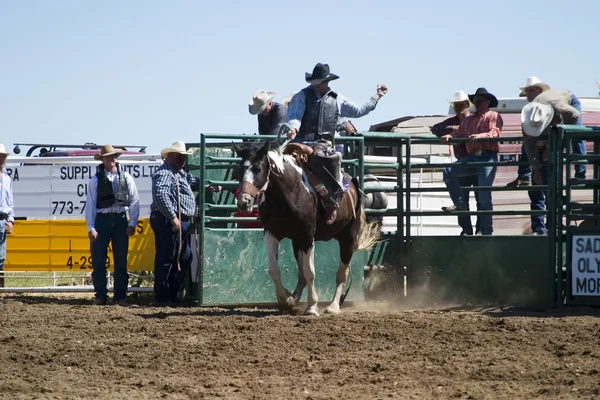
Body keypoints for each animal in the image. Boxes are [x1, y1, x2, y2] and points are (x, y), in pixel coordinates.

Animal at [234, 133, 380, 314]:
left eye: (258, 169)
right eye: (240, 170)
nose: (243, 202)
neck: (289, 191)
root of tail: (352, 184)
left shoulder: (308, 236)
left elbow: (310, 272)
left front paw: (312, 307)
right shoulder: (271, 233)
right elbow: (274, 270)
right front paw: (285, 299)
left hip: (347, 239)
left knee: (341, 274)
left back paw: (333, 306)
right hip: (297, 243)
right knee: (301, 276)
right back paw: (293, 299)